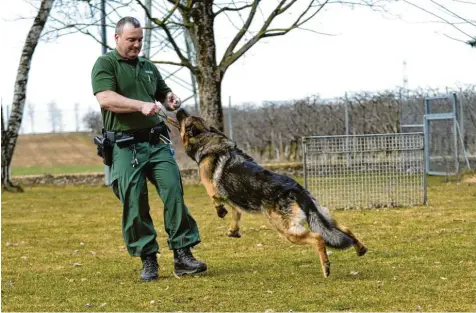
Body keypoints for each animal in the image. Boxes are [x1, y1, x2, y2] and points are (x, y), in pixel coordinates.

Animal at [175, 108, 368, 276]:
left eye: (185, 120)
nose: (179, 108)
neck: (207, 139)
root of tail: (295, 187)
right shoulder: (232, 199)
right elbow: (236, 213)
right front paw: (233, 230)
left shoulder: (213, 190)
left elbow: (217, 202)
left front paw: (220, 212)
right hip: (321, 216)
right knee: (344, 229)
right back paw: (360, 248)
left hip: (286, 229)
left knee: (318, 237)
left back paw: (326, 267)